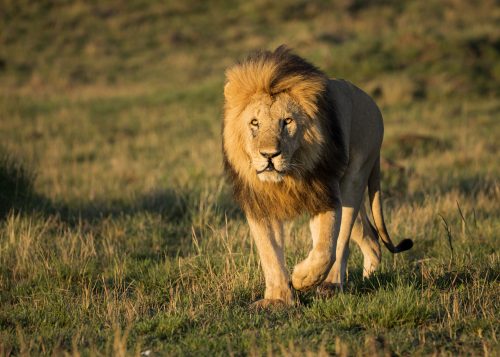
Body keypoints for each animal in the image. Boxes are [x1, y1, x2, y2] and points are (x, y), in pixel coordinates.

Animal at [224, 45, 414, 306]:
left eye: (287, 121)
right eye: (254, 123)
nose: (269, 155)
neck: (287, 178)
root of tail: (371, 101)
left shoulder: (325, 192)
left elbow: (326, 248)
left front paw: (301, 279)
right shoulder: (261, 204)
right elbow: (269, 252)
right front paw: (278, 300)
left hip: (354, 178)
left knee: (341, 240)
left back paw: (329, 285)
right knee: (371, 237)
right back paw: (368, 277)